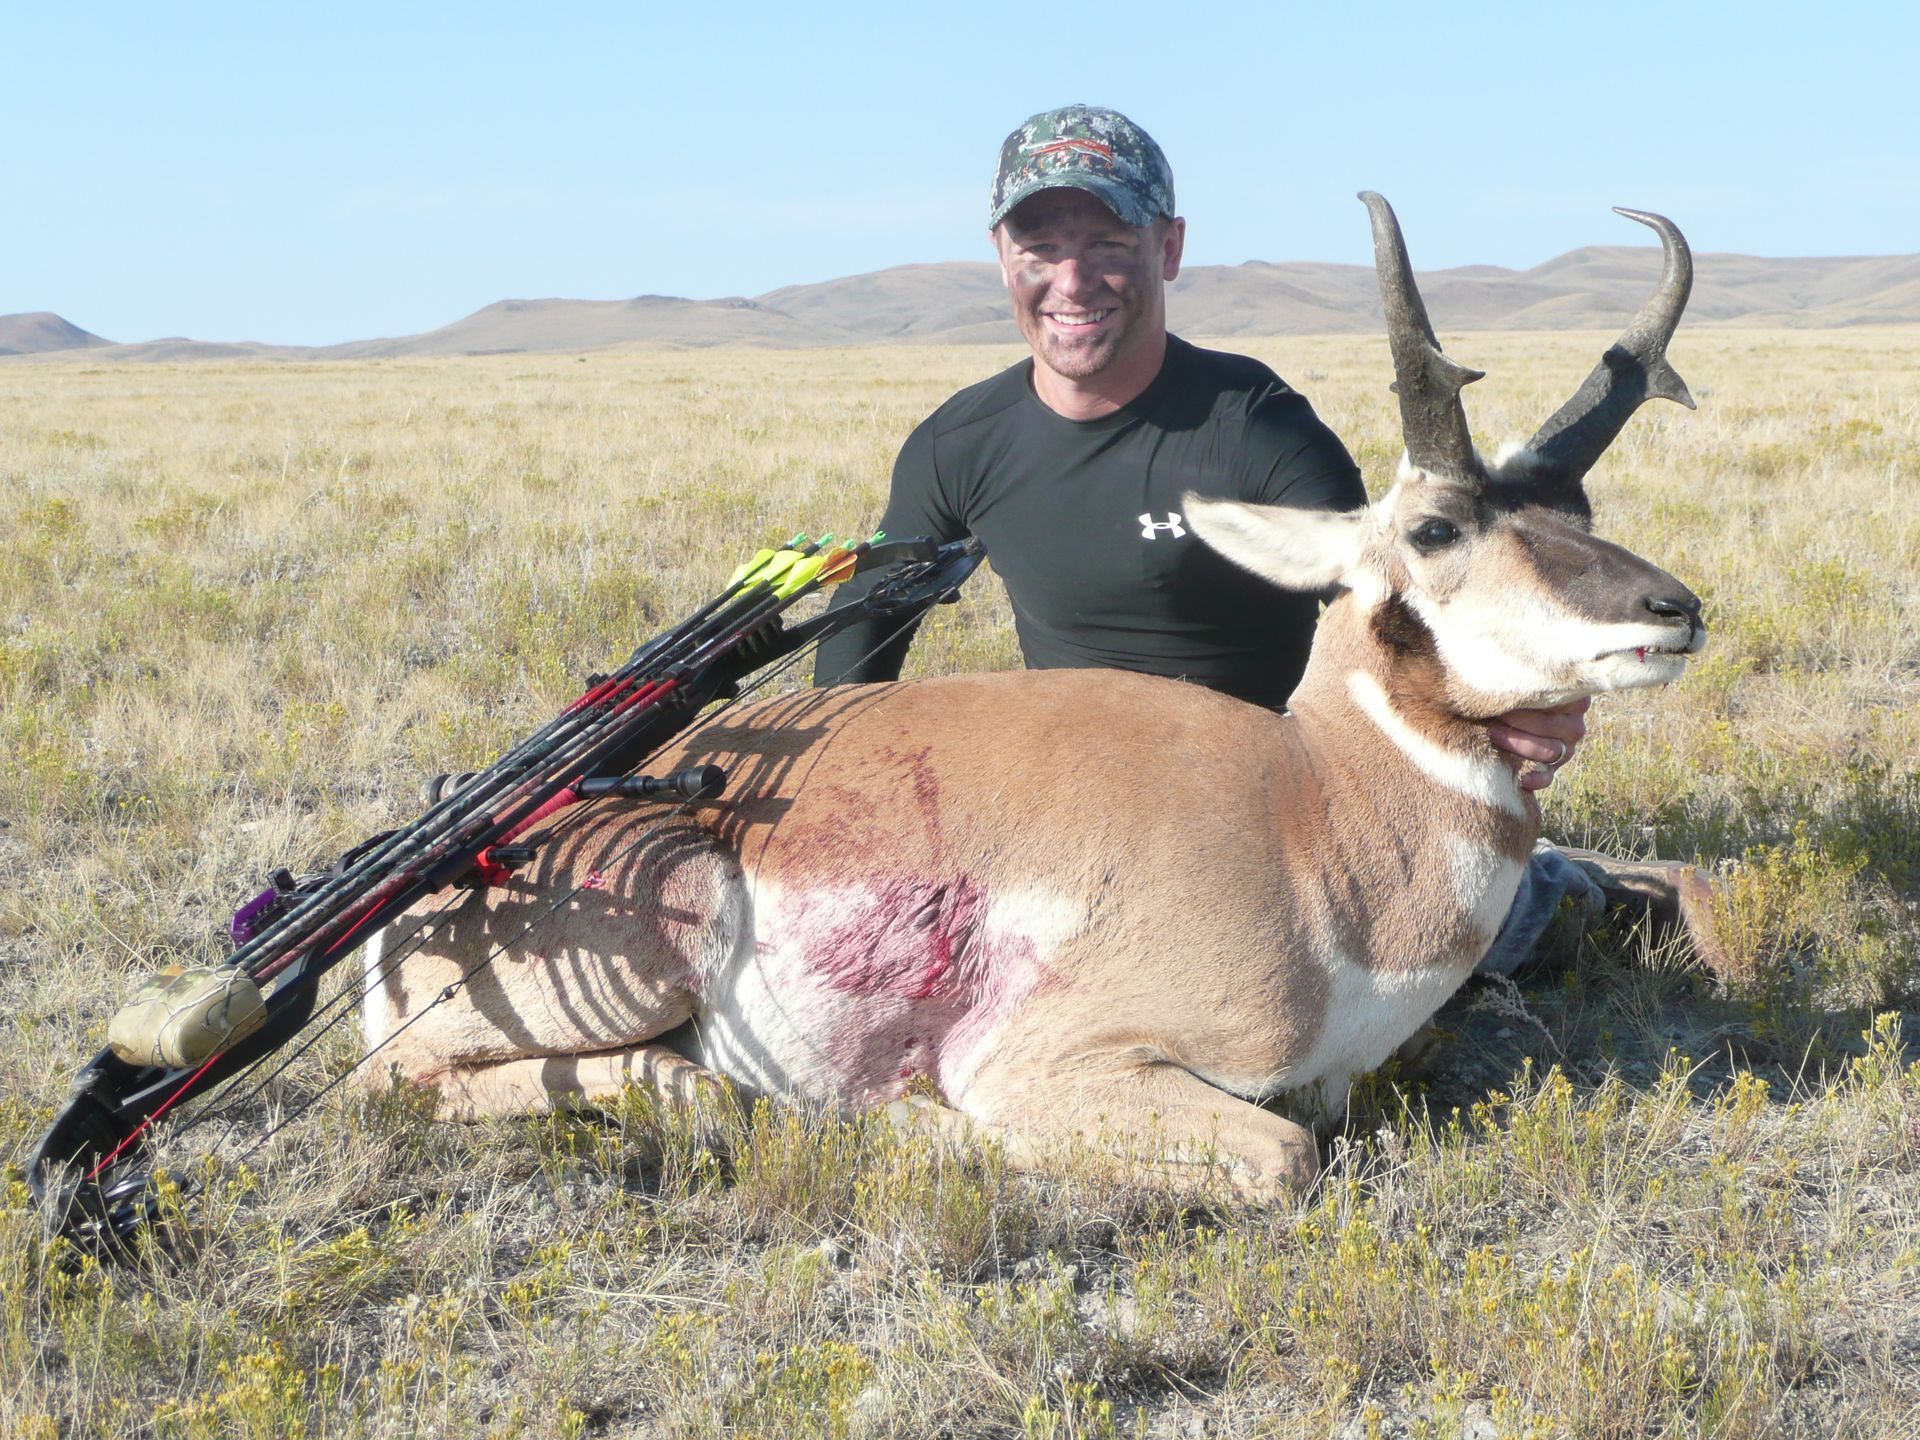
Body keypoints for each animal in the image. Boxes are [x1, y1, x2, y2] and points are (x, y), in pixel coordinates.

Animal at [360, 195, 1703, 1196]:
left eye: (1576, 507)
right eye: (1433, 528)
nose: (1674, 609)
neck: (1312, 809)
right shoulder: (1061, 1064)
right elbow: (1283, 1157)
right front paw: (910, 1121)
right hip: (650, 958)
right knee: (442, 1085)